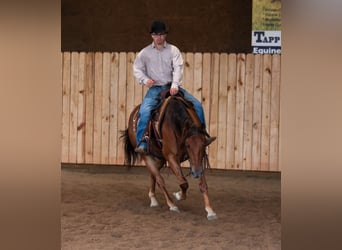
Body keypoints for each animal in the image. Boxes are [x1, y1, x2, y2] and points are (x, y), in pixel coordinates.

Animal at [119, 92, 216, 221]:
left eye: (204, 144)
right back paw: (171, 204)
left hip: (160, 157)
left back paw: (153, 199)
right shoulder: (171, 157)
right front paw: (178, 195)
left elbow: (203, 184)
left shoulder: (196, 161)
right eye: (188, 145)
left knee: (153, 175)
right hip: (146, 155)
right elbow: (184, 183)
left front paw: (210, 211)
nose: (196, 173)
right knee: (160, 179)